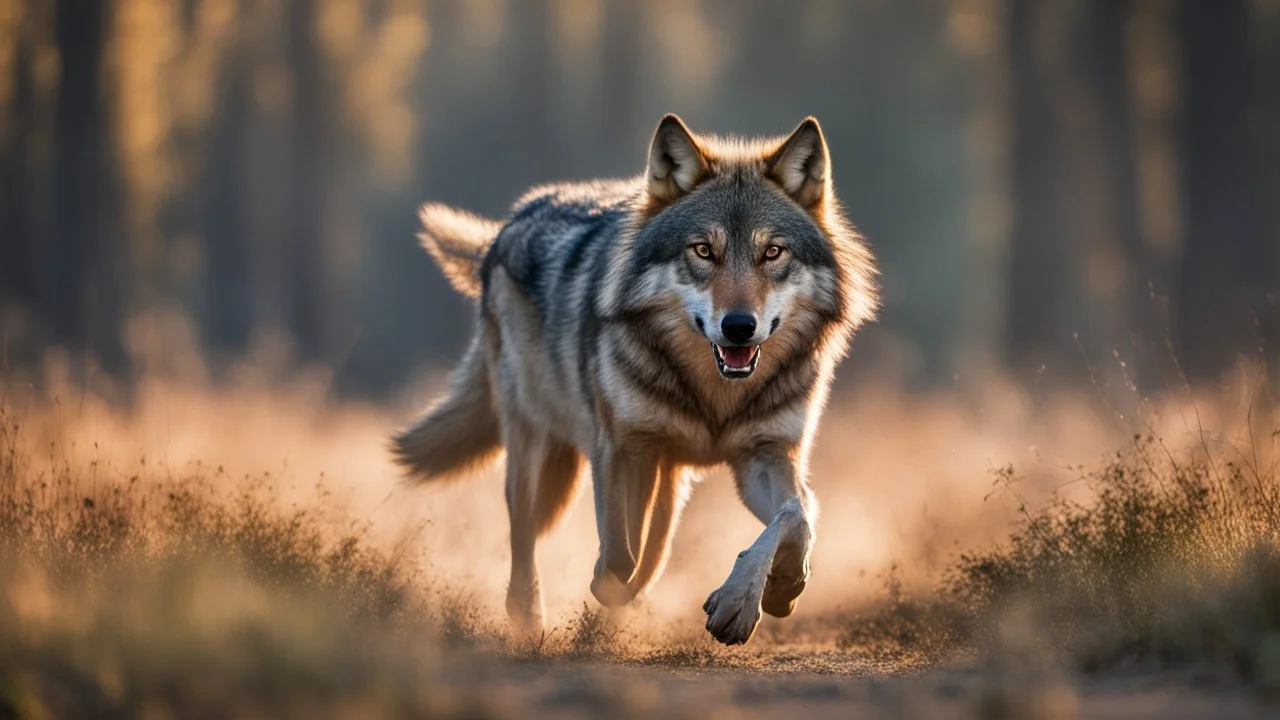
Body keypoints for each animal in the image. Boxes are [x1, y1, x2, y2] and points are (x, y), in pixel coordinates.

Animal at [394, 113, 875, 645]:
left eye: (772, 252)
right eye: (703, 251)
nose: (738, 326)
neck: (716, 398)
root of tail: (512, 220)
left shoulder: (765, 455)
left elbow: (797, 516)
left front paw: (766, 591)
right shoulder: (622, 448)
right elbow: (619, 560)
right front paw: (607, 591)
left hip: (668, 477)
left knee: (658, 548)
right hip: (541, 457)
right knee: (525, 534)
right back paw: (530, 618)